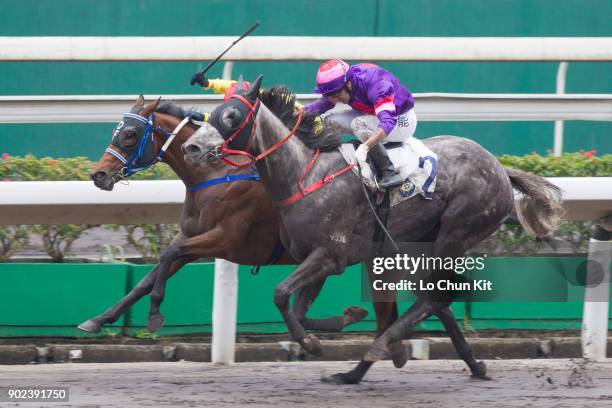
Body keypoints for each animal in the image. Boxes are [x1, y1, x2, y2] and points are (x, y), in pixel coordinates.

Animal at [77, 95, 402, 360]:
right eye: (117, 131)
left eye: (130, 135)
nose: (98, 174)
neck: (216, 174)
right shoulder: (192, 235)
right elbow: (150, 276)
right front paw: (98, 319)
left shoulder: (224, 239)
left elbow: (169, 254)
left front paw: (155, 315)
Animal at [179, 77, 560, 386]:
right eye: (213, 112)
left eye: (231, 115)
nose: (191, 147)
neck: (304, 174)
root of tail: (500, 168)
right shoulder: (317, 259)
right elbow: (298, 310)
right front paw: (346, 319)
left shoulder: (329, 254)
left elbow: (279, 294)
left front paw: (313, 342)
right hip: (408, 248)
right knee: (430, 301)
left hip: (455, 233)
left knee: (438, 296)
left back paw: (381, 349)